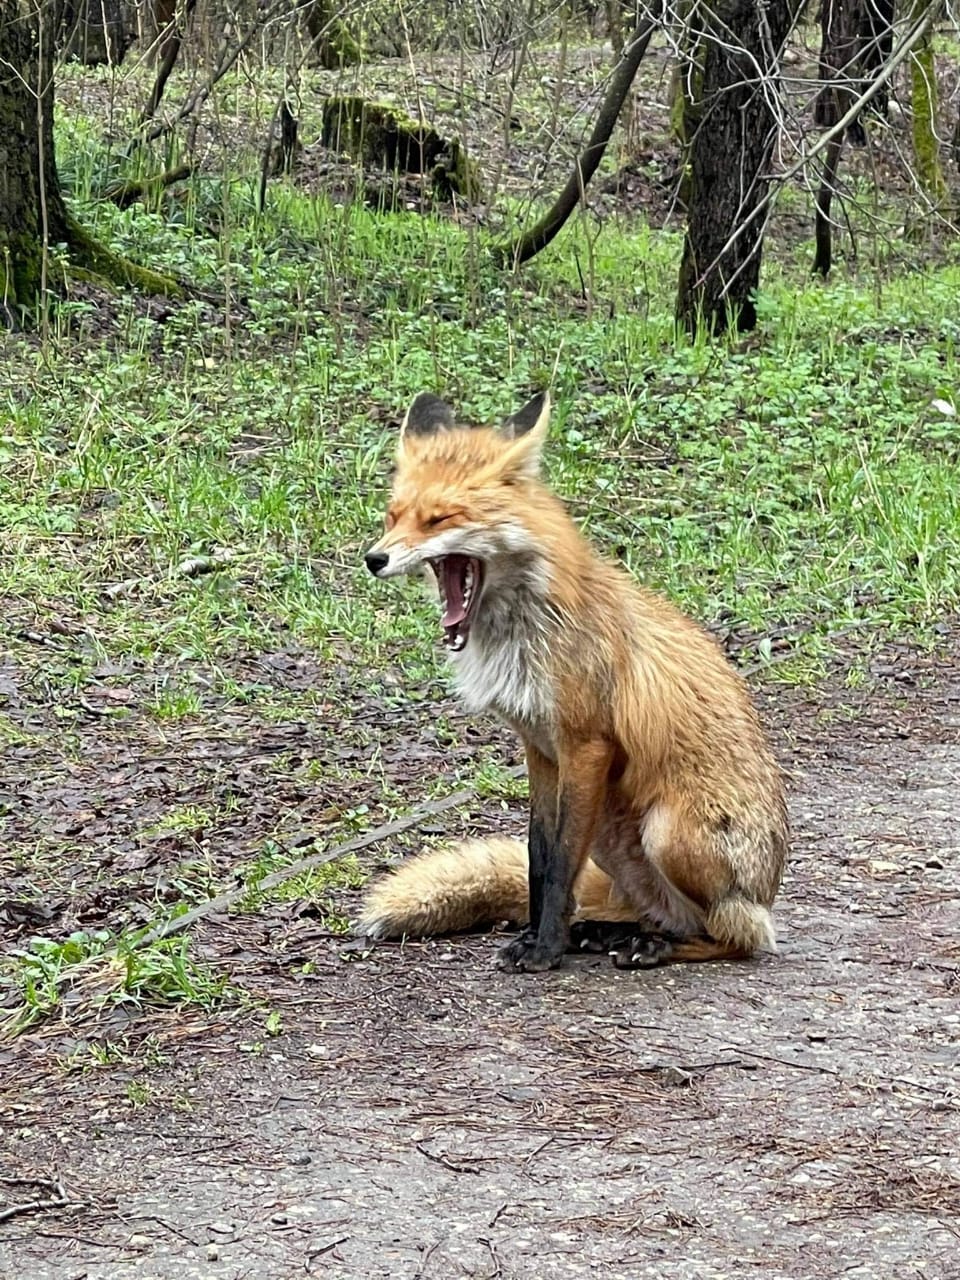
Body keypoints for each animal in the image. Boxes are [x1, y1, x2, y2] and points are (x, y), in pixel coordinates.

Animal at [360, 389, 788, 967]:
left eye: (439, 519)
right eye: (393, 515)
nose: (374, 558)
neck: (523, 633)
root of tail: (766, 895)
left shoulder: (585, 743)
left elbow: (562, 862)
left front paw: (544, 951)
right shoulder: (539, 747)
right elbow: (539, 857)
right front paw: (539, 935)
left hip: (667, 834)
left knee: (735, 936)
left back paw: (653, 946)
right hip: (612, 836)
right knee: (662, 913)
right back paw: (613, 932)